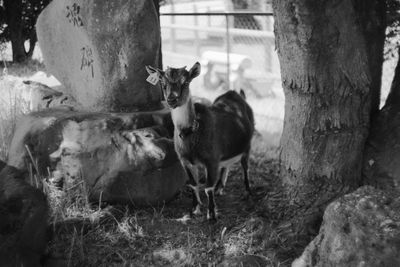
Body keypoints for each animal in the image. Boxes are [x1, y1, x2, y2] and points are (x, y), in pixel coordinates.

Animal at [145, 62, 255, 222]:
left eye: (185, 82)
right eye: (162, 83)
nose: (172, 100)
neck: (191, 133)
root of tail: (237, 94)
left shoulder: (211, 159)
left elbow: (208, 186)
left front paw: (212, 215)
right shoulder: (185, 160)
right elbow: (193, 184)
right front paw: (194, 210)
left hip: (248, 144)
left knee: (245, 166)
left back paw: (247, 192)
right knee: (226, 164)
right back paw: (220, 187)